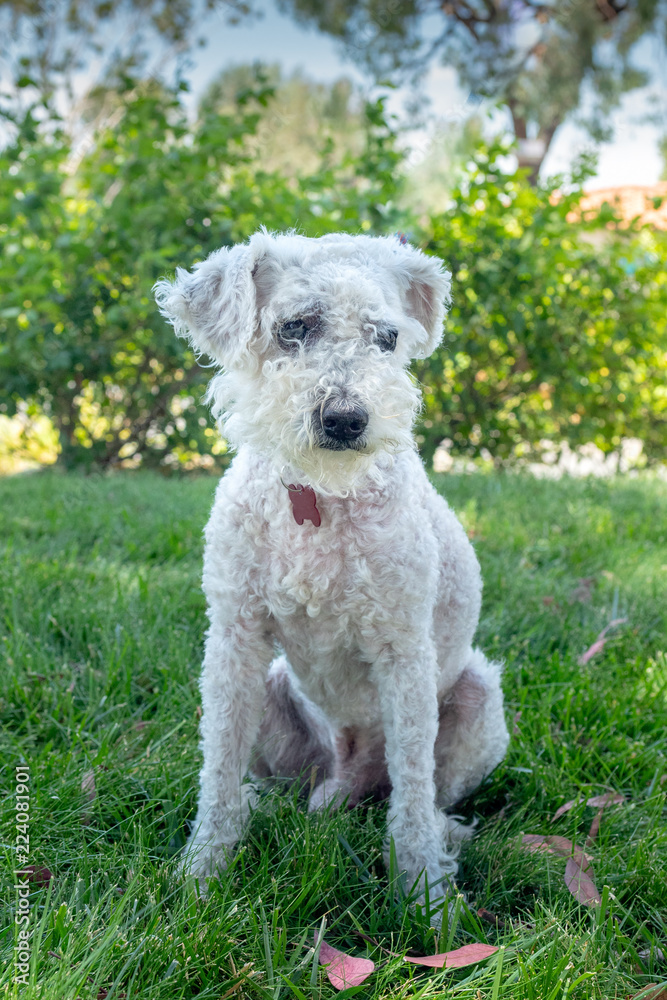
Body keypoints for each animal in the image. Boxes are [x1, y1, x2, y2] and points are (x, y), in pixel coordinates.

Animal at [155, 230, 512, 904]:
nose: (346, 420)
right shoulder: (235, 637)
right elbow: (217, 774)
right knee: (281, 787)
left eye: (387, 337)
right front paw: (202, 873)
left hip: (477, 698)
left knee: (425, 794)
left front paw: (425, 895)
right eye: (294, 326)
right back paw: (269, 805)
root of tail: (346, 776)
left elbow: (413, 797)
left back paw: (446, 834)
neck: (319, 498)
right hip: (272, 691)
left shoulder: (404, 650)